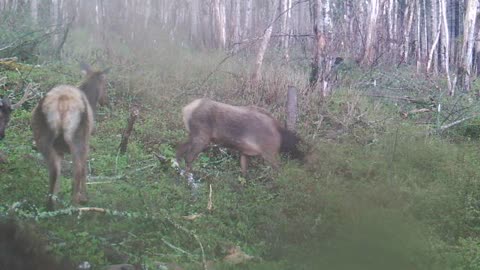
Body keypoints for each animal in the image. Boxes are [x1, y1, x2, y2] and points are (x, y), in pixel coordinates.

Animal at [32, 63, 109, 211]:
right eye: (106, 84)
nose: (104, 101)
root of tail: (62, 104)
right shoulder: (87, 141)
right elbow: (84, 168)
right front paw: (84, 197)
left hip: (42, 139)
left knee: (54, 171)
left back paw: (51, 205)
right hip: (79, 139)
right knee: (77, 170)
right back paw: (75, 205)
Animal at [176, 98, 304, 175]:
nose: (303, 160)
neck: (282, 138)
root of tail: (186, 109)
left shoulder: (245, 152)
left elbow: (244, 173)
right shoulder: (270, 153)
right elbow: (279, 173)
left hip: (193, 135)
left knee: (180, 148)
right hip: (202, 137)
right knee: (189, 157)